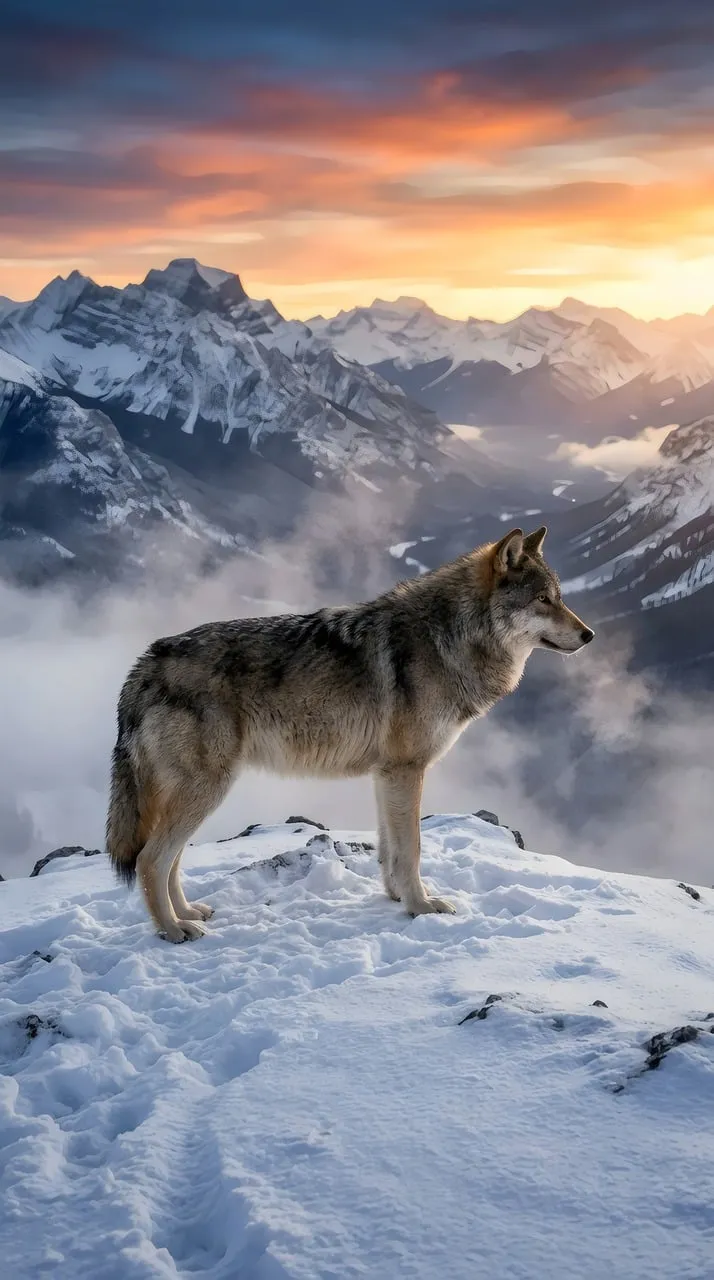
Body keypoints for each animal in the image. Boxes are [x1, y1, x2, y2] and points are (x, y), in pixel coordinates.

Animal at [106, 526, 593, 941]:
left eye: (559, 598)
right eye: (543, 600)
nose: (589, 634)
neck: (448, 639)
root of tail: (142, 667)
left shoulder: (386, 774)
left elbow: (390, 850)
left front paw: (397, 898)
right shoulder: (407, 770)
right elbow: (413, 848)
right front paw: (422, 907)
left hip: (196, 793)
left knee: (170, 860)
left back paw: (189, 913)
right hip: (207, 789)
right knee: (151, 860)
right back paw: (173, 930)